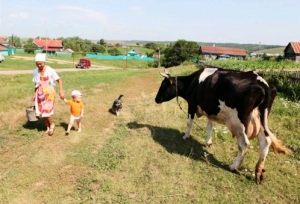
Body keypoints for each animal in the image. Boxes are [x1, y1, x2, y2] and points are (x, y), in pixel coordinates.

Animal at [155, 67, 290, 184]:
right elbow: (209, 126)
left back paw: (233, 166)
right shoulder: (211, 110)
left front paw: (186, 136)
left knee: (244, 144)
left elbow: (189, 122)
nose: (156, 99)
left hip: (239, 122)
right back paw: (259, 172)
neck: (193, 82)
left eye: (163, 85)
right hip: (261, 120)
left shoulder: (192, 104)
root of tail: (262, 82)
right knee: (265, 142)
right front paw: (208, 142)